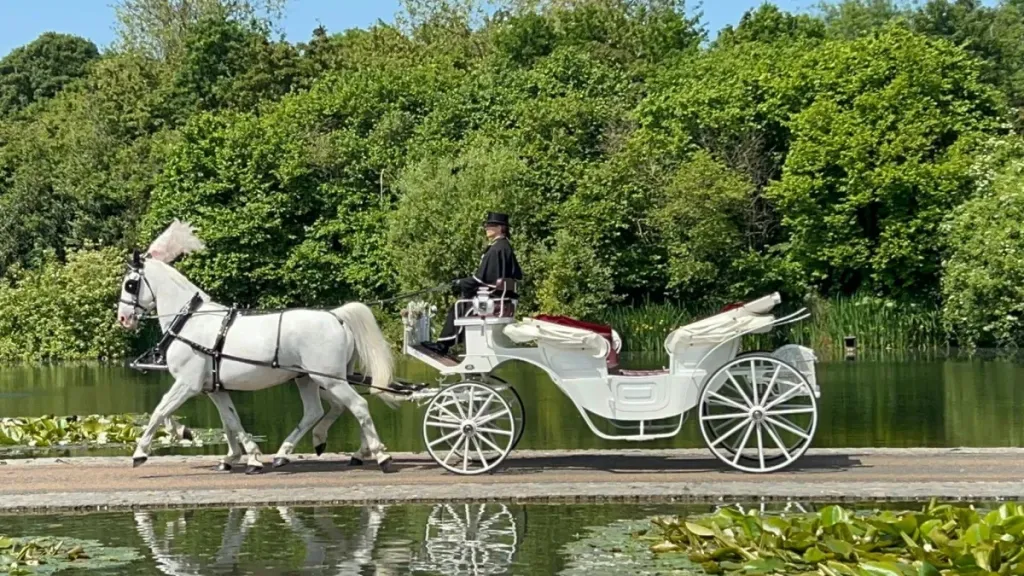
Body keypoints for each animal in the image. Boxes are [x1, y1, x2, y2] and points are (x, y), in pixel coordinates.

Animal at [114, 219, 397, 471]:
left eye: (131, 284)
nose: (123, 318)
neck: (188, 321)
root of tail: (335, 316)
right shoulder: (212, 388)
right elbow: (230, 420)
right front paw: (242, 456)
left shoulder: (187, 383)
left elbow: (159, 410)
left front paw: (140, 452)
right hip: (310, 379)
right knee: (319, 411)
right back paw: (303, 450)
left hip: (329, 379)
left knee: (358, 406)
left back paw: (380, 456)